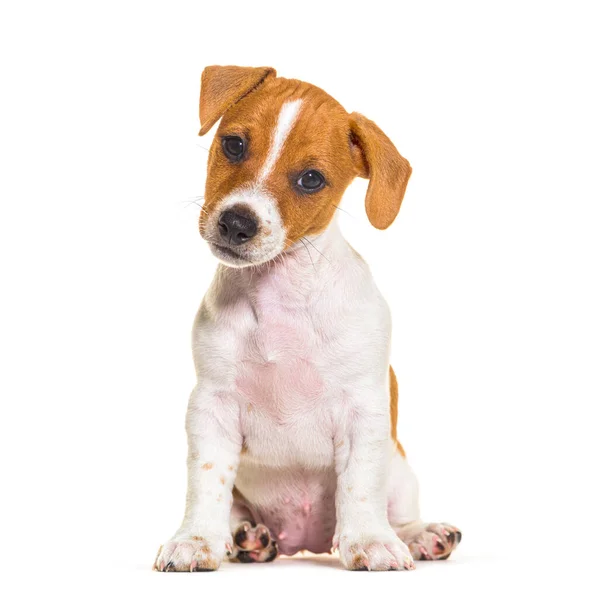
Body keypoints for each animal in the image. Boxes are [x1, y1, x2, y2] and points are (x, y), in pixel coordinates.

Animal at [152, 65, 462, 572]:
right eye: (233, 145)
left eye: (311, 179)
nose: (237, 223)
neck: (280, 293)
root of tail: (304, 541)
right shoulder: (211, 408)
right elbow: (206, 482)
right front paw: (196, 539)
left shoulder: (363, 412)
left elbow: (360, 487)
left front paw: (370, 540)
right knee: (238, 512)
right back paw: (247, 538)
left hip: (400, 471)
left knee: (397, 512)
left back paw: (421, 534)